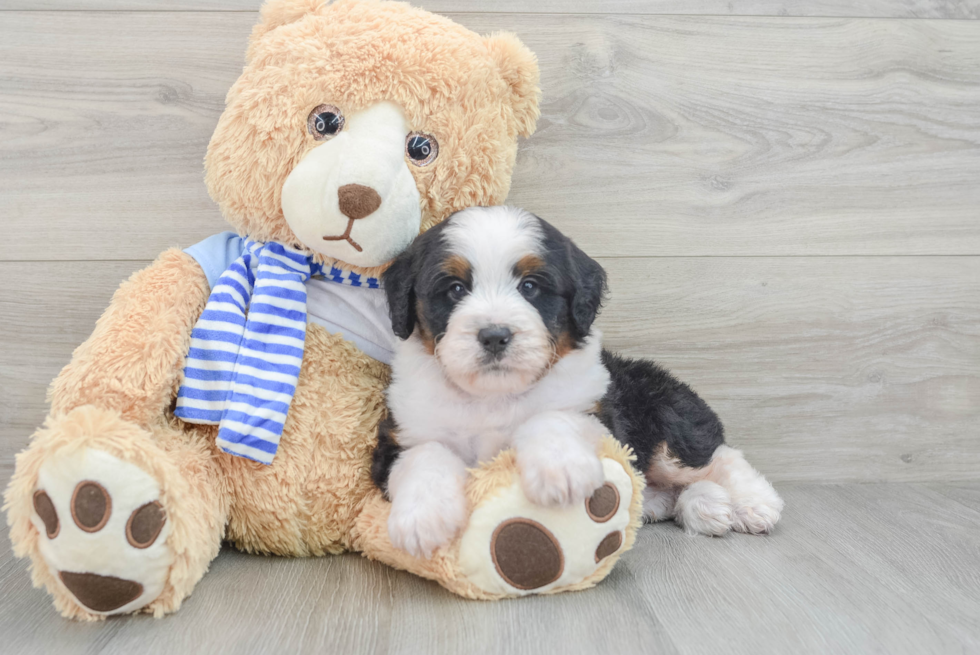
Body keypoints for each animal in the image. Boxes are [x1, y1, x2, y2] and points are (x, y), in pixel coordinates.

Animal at [372, 206, 784, 560]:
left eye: (530, 287)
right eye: (455, 289)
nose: (494, 335)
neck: (495, 396)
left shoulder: (599, 414)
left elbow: (552, 416)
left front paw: (560, 468)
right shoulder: (398, 436)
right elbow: (425, 453)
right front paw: (423, 517)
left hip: (665, 417)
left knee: (717, 456)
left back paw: (752, 504)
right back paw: (699, 505)